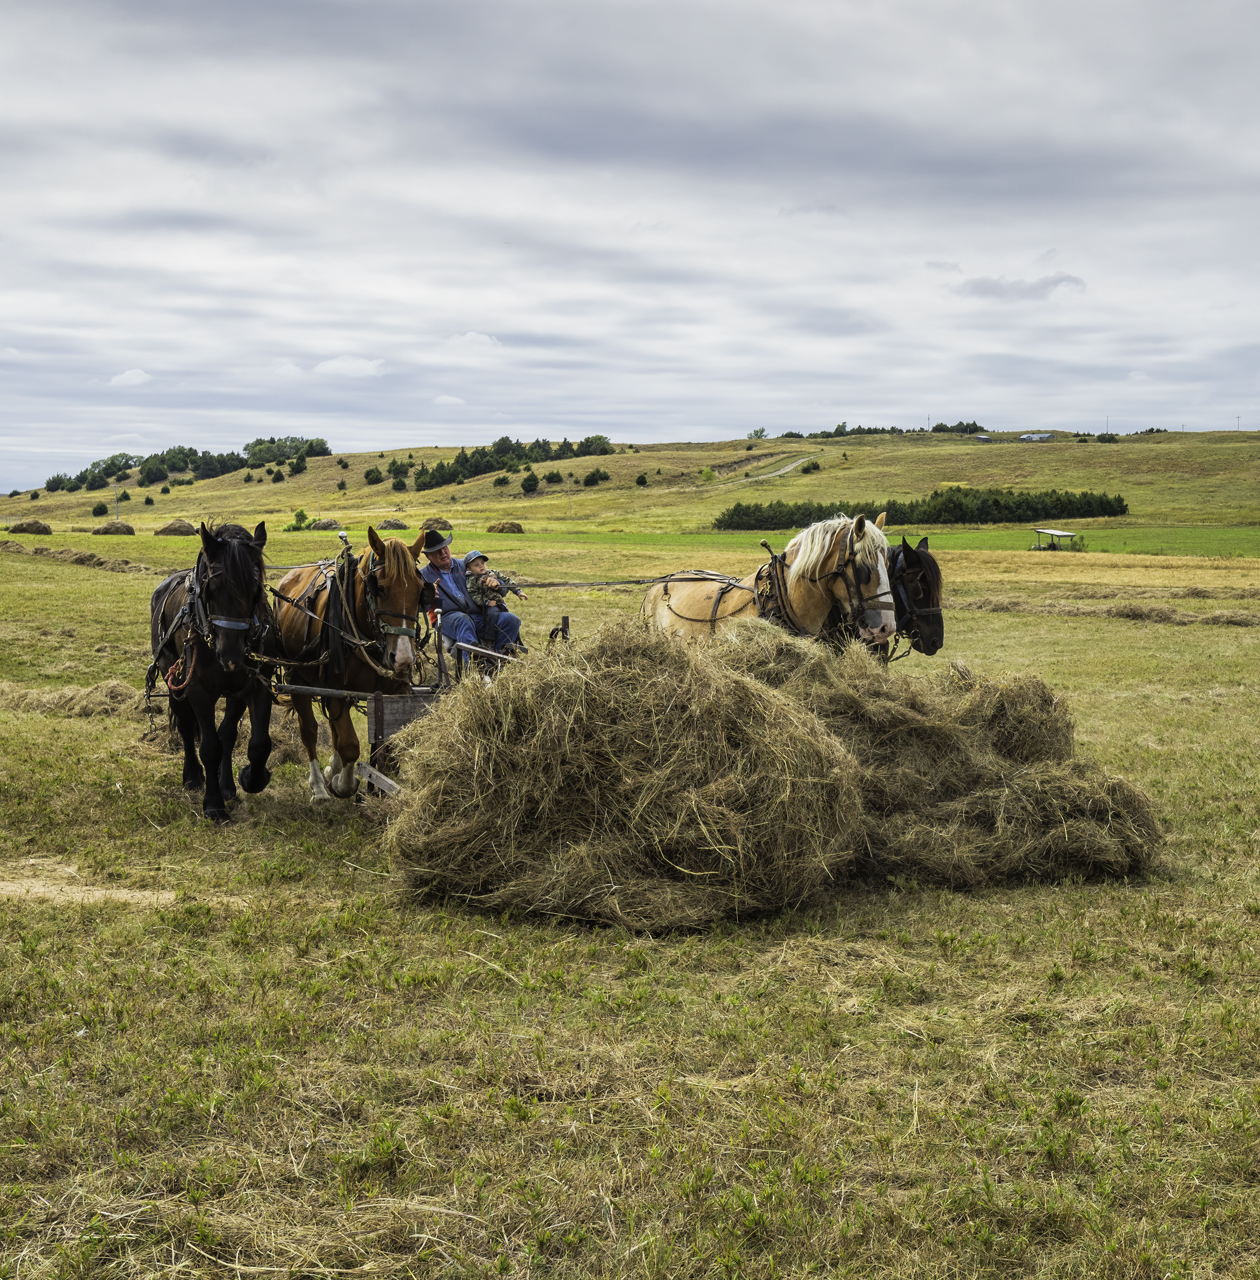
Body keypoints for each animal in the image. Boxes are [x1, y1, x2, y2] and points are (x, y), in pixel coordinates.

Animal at [149, 517, 274, 819]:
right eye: (212, 590)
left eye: (256, 590)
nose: (230, 656)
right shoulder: (197, 688)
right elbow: (209, 746)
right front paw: (214, 804)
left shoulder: (254, 685)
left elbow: (254, 742)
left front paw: (248, 778)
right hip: (174, 678)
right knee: (185, 725)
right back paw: (193, 776)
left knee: (226, 734)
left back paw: (225, 784)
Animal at [272, 524, 435, 793]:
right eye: (380, 587)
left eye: (421, 589)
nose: (402, 659)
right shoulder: (336, 690)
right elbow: (349, 744)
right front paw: (344, 784)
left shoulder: (395, 692)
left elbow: (385, 742)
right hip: (297, 677)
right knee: (310, 730)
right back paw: (319, 788)